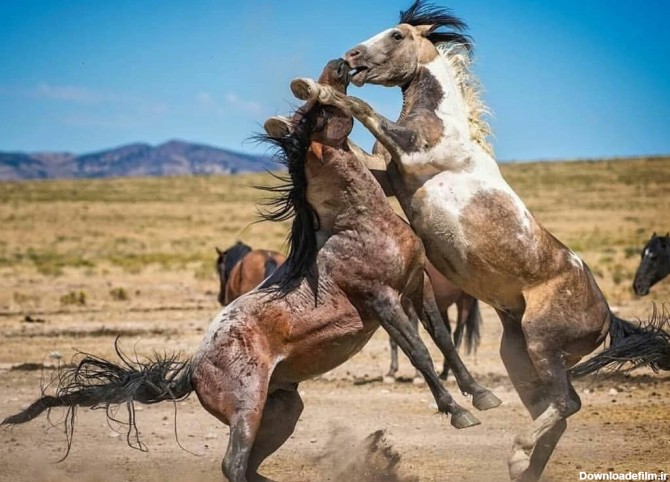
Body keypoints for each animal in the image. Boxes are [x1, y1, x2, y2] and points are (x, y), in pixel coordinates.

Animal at [3, 59, 498, 482]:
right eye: (319, 109)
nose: (339, 63)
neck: (358, 223)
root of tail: (192, 370)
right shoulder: (384, 301)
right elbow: (419, 353)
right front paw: (458, 413)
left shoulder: (417, 288)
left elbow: (444, 341)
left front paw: (481, 395)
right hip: (247, 411)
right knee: (233, 465)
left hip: (282, 410)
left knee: (250, 468)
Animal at [292, 1, 670, 480]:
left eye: (397, 35)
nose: (351, 56)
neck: (446, 123)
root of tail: (606, 317)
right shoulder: (392, 177)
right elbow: (362, 151)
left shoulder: (411, 152)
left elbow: (363, 107)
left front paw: (314, 88)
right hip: (520, 357)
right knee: (556, 412)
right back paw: (521, 465)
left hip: (542, 345)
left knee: (567, 404)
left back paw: (517, 451)